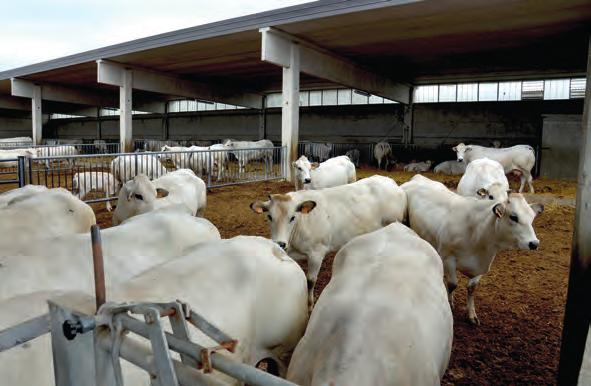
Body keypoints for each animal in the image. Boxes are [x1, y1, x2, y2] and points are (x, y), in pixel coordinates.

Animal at [250, 176, 408, 310]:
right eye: (269, 216)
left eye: (292, 217)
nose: (280, 243)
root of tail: (390, 182)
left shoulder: (316, 253)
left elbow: (310, 281)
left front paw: (310, 305)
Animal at [404, 176, 544, 324]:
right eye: (513, 217)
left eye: (532, 218)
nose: (534, 243)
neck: (477, 232)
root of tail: (418, 178)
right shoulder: (448, 258)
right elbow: (452, 284)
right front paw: (450, 303)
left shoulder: (482, 266)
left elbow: (471, 288)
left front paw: (471, 314)